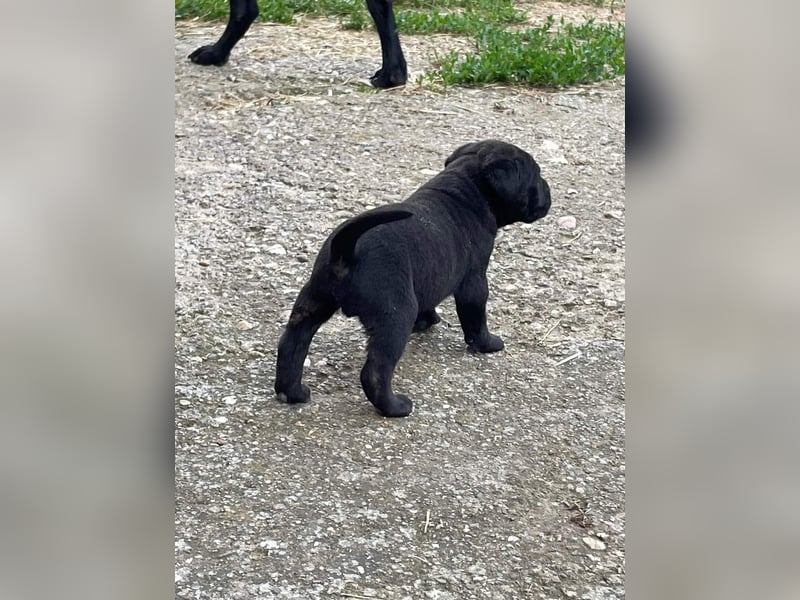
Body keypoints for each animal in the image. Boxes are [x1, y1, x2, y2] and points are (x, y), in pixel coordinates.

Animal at [274, 139, 552, 418]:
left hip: (313, 301)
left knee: (292, 344)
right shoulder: (474, 281)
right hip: (395, 317)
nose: (549, 188)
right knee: (375, 371)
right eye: (536, 175)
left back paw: (293, 392)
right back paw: (395, 407)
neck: (467, 188)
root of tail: (347, 250)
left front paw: (428, 320)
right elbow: (475, 318)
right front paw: (488, 344)